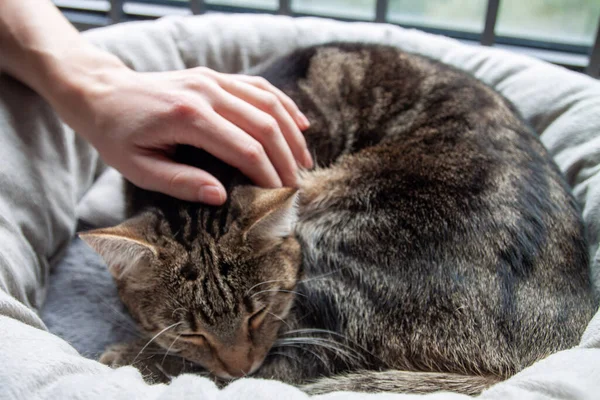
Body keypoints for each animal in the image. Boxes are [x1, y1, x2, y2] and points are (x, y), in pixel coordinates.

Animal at [79, 43, 596, 394]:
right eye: (188, 332)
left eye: (259, 313)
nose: (239, 366)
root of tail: (530, 361)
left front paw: (140, 356)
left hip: (344, 236)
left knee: (292, 370)